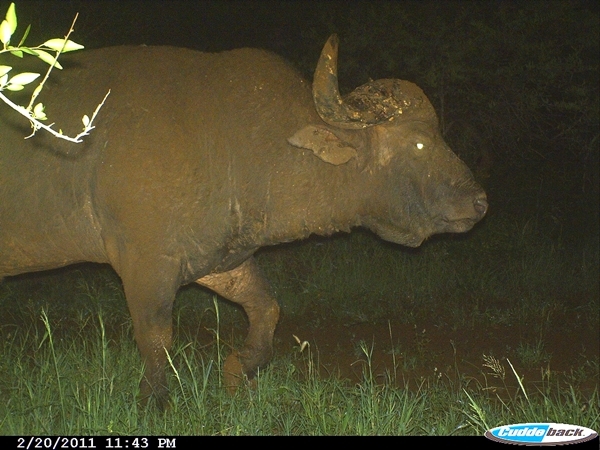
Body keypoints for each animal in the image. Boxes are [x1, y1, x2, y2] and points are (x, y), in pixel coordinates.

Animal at [0, 36, 488, 408]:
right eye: (420, 144)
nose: (479, 201)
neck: (238, 141)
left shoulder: (220, 262)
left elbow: (267, 310)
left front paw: (238, 373)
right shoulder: (146, 265)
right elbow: (156, 338)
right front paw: (153, 404)